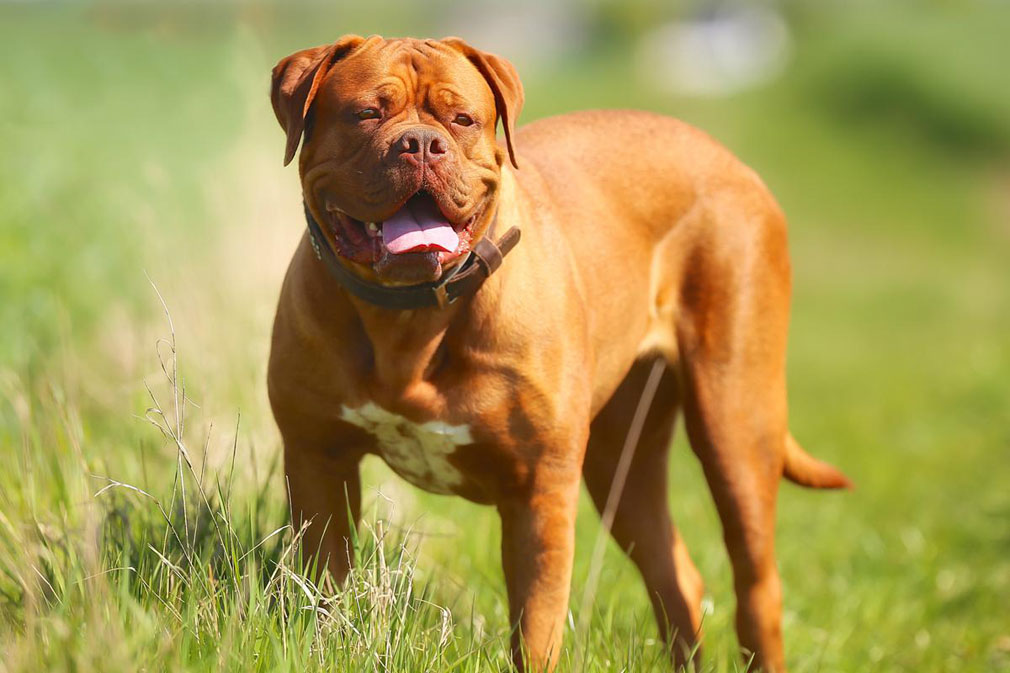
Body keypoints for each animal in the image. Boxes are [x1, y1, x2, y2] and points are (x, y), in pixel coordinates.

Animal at [268, 36, 852, 670]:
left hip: (736, 425)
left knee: (757, 585)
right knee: (675, 575)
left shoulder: (539, 491)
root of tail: (730, 160)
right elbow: (324, 587)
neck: (409, 317)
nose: (421, 142)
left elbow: (535, 624)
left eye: (462, 119)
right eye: (367, 113)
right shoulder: (318, 460)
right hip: (621, 460)